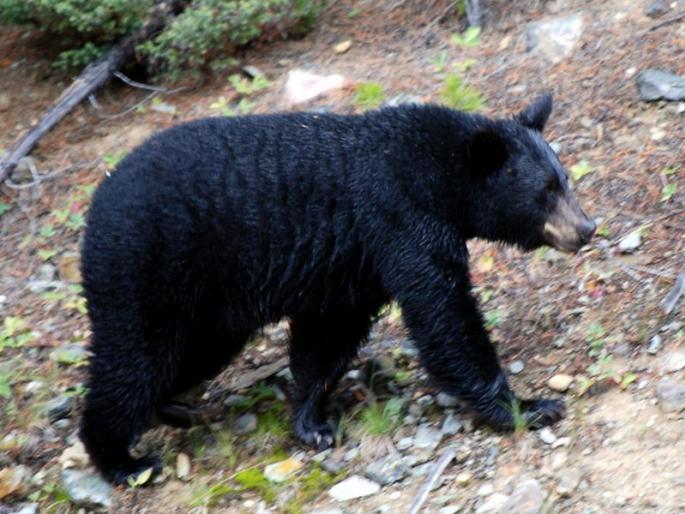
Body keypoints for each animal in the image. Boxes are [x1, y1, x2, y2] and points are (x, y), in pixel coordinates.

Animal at [79, 93, 595, 484]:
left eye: (564, 178)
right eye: (545, 191)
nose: (587, 228)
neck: (438, 175)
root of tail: (97, 202)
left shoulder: (355, 263)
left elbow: (328, 337)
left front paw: (312, 422)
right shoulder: (402, 221)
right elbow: (445, 317)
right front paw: (529, 406)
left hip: (208, 304)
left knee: (191, 354)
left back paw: (173, 408)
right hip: (146, 269)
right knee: (134, 360)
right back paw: (122, 461)